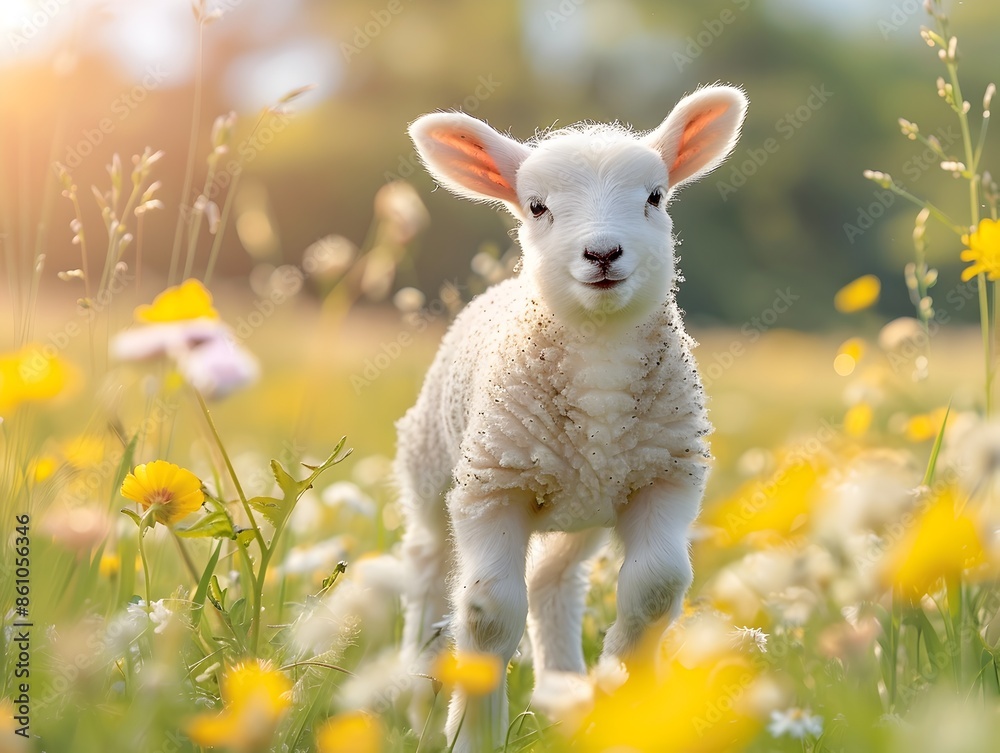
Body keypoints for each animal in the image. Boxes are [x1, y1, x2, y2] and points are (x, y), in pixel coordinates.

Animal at [395, 85, 748, 751]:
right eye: (536, 207)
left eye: (655, 197)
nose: (602, 253)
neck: (599, 354)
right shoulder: (491, 487)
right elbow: (486, 614)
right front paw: (474, 733)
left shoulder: (664, 477)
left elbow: (656, 589)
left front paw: (632, 699)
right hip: (432, 468)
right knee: (427, 569)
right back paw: (416, 690)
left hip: (581, 508)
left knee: (552, 584)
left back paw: (563, 692)